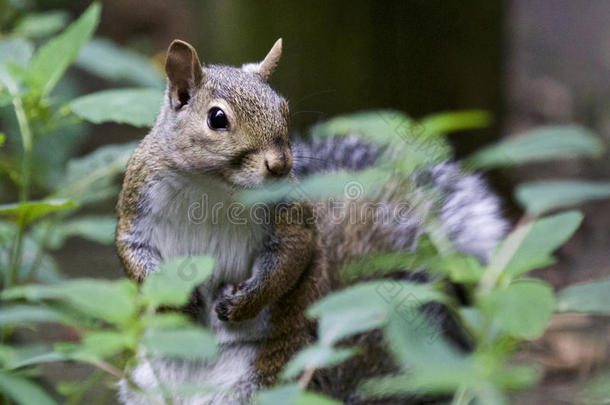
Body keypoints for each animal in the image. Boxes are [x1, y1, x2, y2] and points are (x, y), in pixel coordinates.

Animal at [116, 38, 506, 404]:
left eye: (284, 109)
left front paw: (242, 303)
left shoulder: (288, 219)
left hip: (265, 382)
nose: (280, 165)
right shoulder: (137, 204)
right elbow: (132, 251)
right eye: (216, 119)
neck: (213, 187)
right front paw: (174, 301)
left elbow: (290, 258)